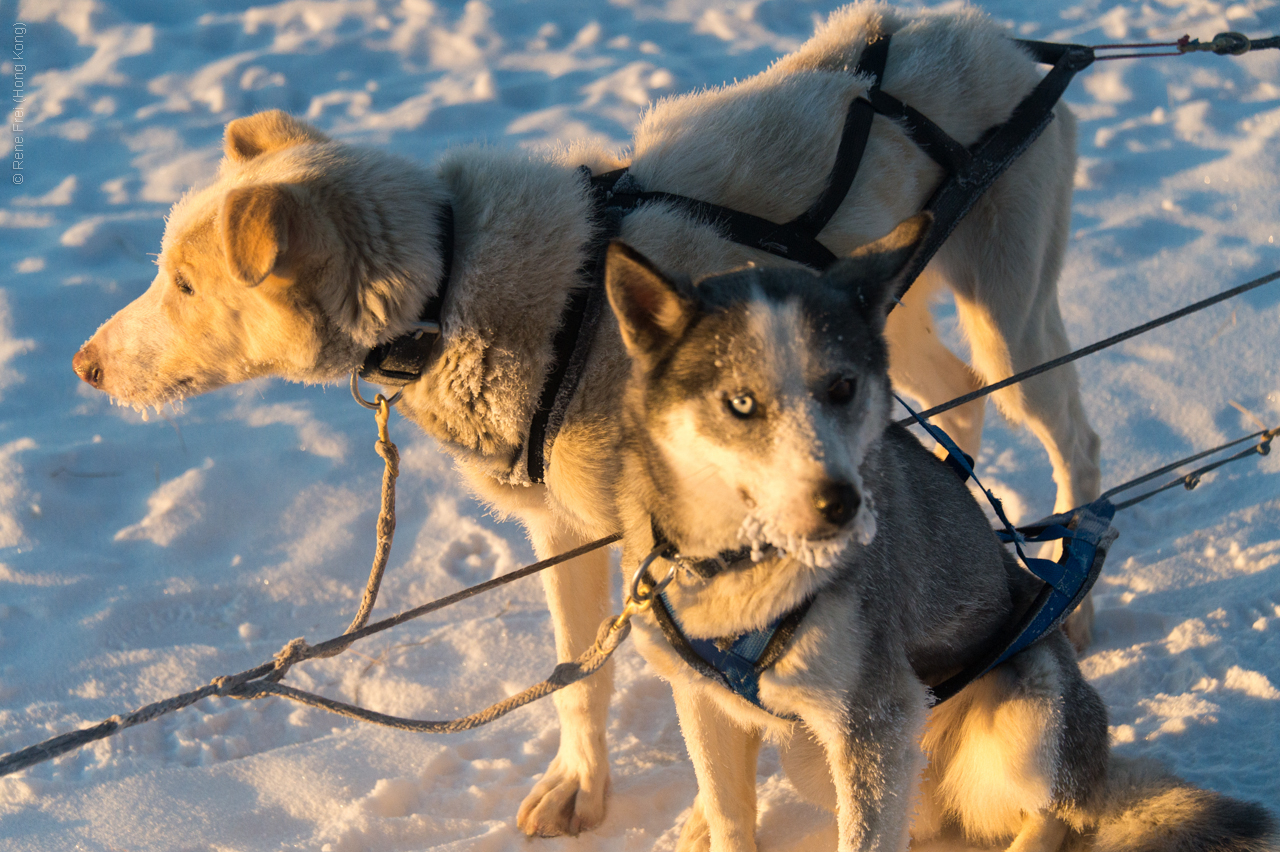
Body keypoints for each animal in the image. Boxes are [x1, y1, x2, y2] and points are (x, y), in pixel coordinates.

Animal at [74, 1, 1100, 834]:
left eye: (184, 283)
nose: (83, 365)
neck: (454, 284)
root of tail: (989, 31)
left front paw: (704, 812)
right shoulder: (565, 530)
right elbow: (582, 677)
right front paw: (584, 785)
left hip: (1012, 324)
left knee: (1069, 433)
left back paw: (1075, 594)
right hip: (896, 323)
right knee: (956, 400)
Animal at [604, 217, 1274, 849]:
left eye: (842, 386)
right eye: (741, 403)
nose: (841, 503)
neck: (744, 573)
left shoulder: (872, 720)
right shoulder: (705, 704)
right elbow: (727, 816)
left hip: (1027, 712)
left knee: (1059, 813)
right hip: (823, 758)